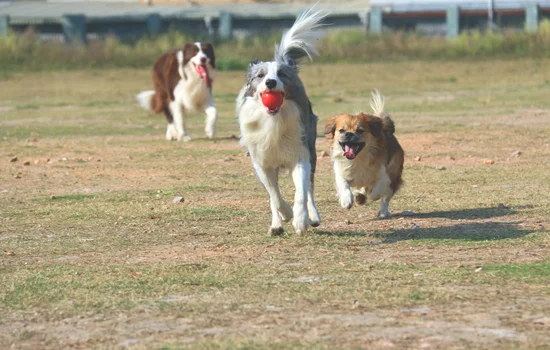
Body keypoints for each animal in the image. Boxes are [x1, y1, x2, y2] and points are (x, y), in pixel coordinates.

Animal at [237, 7, 328, 235]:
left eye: (281, 74)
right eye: (260, 75)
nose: (270, 82)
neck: (274, 120)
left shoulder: (300, 154)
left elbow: (301, 192)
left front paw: (301, 220)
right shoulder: (261, 162)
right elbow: (274, 196)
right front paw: (285, 216)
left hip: (311, 149)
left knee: (309, 187)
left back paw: (313, 217)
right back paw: (277, 224)